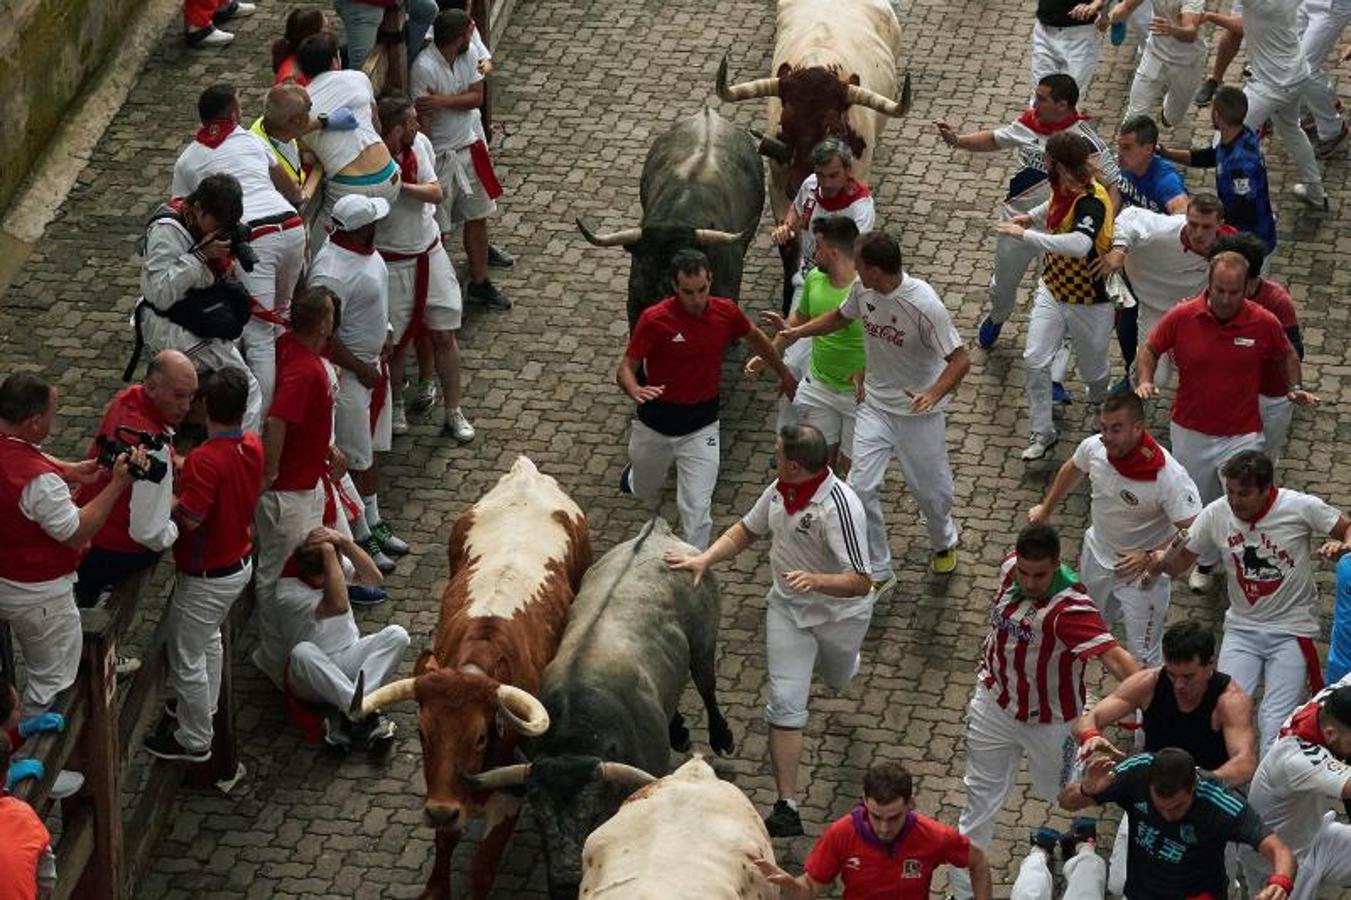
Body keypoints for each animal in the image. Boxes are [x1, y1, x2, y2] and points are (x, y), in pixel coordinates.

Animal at [348, 456, 591, 897]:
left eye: (480, 737)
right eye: (423, 733)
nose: (442, 812)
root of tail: (526, 475)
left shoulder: (511, 796)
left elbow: (482, 869)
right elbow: (445, 844)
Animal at [464, 518, 740, 897]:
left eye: (593, 813)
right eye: (537, 816)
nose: (566, 881)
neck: (579, 733)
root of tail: (655, 531)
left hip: (704, 644)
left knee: (707, 686)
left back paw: (720, 736)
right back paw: (679, 730)